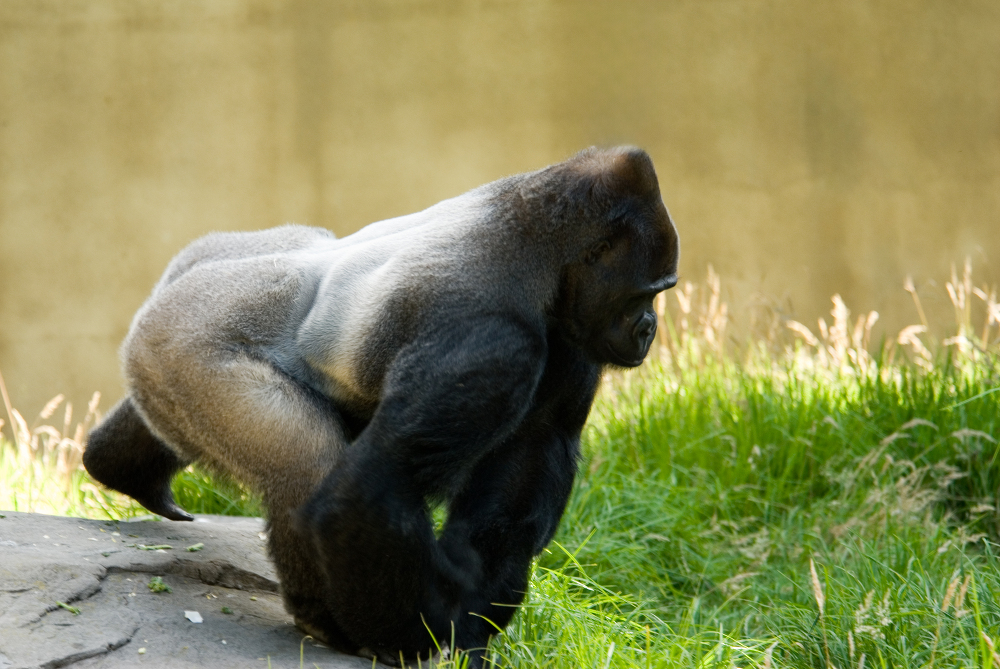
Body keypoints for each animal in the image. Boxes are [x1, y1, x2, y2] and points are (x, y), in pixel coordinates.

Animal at [84, 145, 680, 664]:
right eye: (647, 292)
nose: (649, 329)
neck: (535, 244)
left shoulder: (569, 334)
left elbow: (530, 460)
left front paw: (472, 620)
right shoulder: (489, 341)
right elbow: (377, 487)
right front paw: (413, 639)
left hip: (222, 259)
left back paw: (118, 464)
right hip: (184, 341)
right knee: (305, 466)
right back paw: (323, 620)